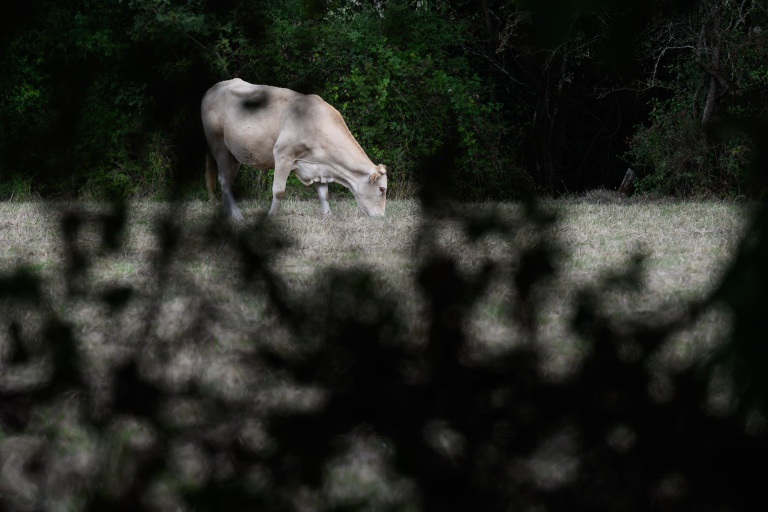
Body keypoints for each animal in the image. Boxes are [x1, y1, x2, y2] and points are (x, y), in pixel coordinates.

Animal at [201, 78, 387, 220]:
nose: (381, 217)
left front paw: (328, 216)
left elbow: (324, 194)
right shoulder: (283, 155)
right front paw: (271, 217)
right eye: (382, 189)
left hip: (234, 154)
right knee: (225, 181)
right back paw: (237, 215)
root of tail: (214, 88)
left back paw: (226, 214)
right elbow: (279, 191)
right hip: (219, 146)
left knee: (224, 180)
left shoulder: (319, 165)